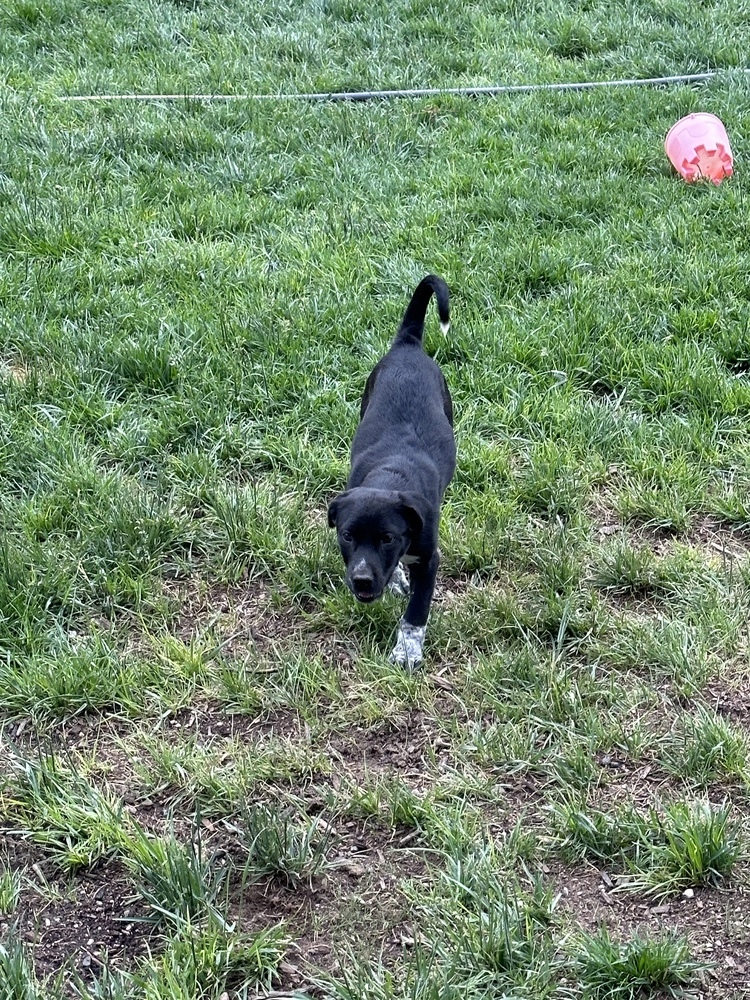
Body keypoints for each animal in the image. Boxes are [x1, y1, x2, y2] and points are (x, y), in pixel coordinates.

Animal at [330, 274, 458, 668]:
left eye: (388, 538)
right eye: (347, 536)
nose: (361, 581)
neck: (391, 475)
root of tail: (408, 344)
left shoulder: (430, 558)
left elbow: (417, 611)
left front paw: (407, 651)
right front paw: (397, 579)